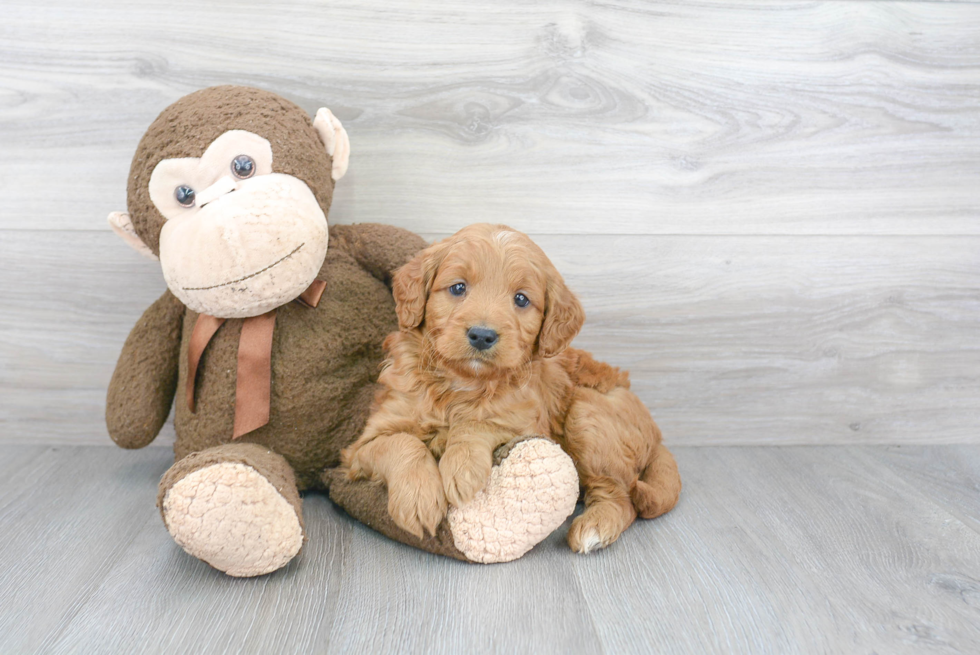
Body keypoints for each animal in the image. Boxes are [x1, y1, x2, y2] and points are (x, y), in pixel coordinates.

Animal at [344, 223, 680, 552]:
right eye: (458, 288)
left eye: (521, 299)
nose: (482, 335)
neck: (462, 384)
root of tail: (658, 436)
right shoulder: (363, 444)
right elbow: (401, 443)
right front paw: (419, 498)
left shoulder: (528, 422)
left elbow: (478, 423)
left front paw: (461, 468)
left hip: (587, 414)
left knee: (622, 497)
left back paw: (594, 528)